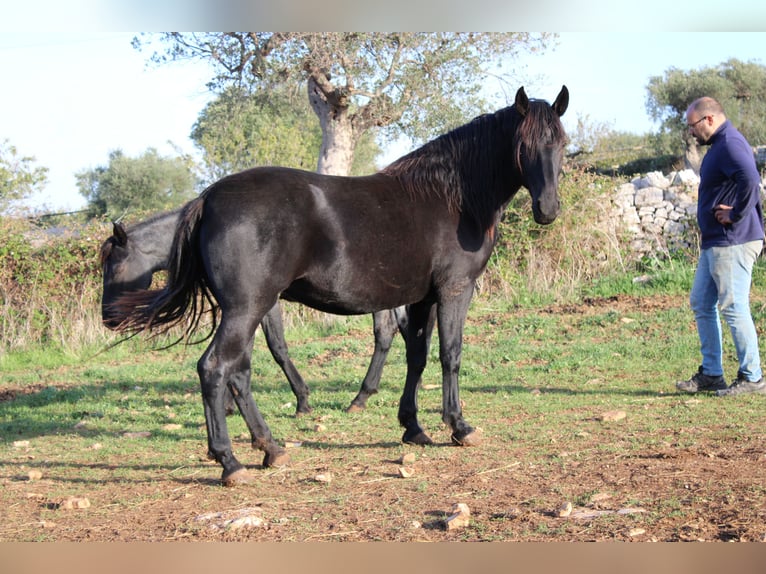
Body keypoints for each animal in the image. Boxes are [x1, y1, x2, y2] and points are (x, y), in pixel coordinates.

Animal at [99, 210, 432, 414]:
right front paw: (230, 405)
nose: (108, 318)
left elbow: (277, 348)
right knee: (395, 332)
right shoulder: (241, 307)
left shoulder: (265, 303)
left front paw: (302, 400)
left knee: (390, 332)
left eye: (114, 266)